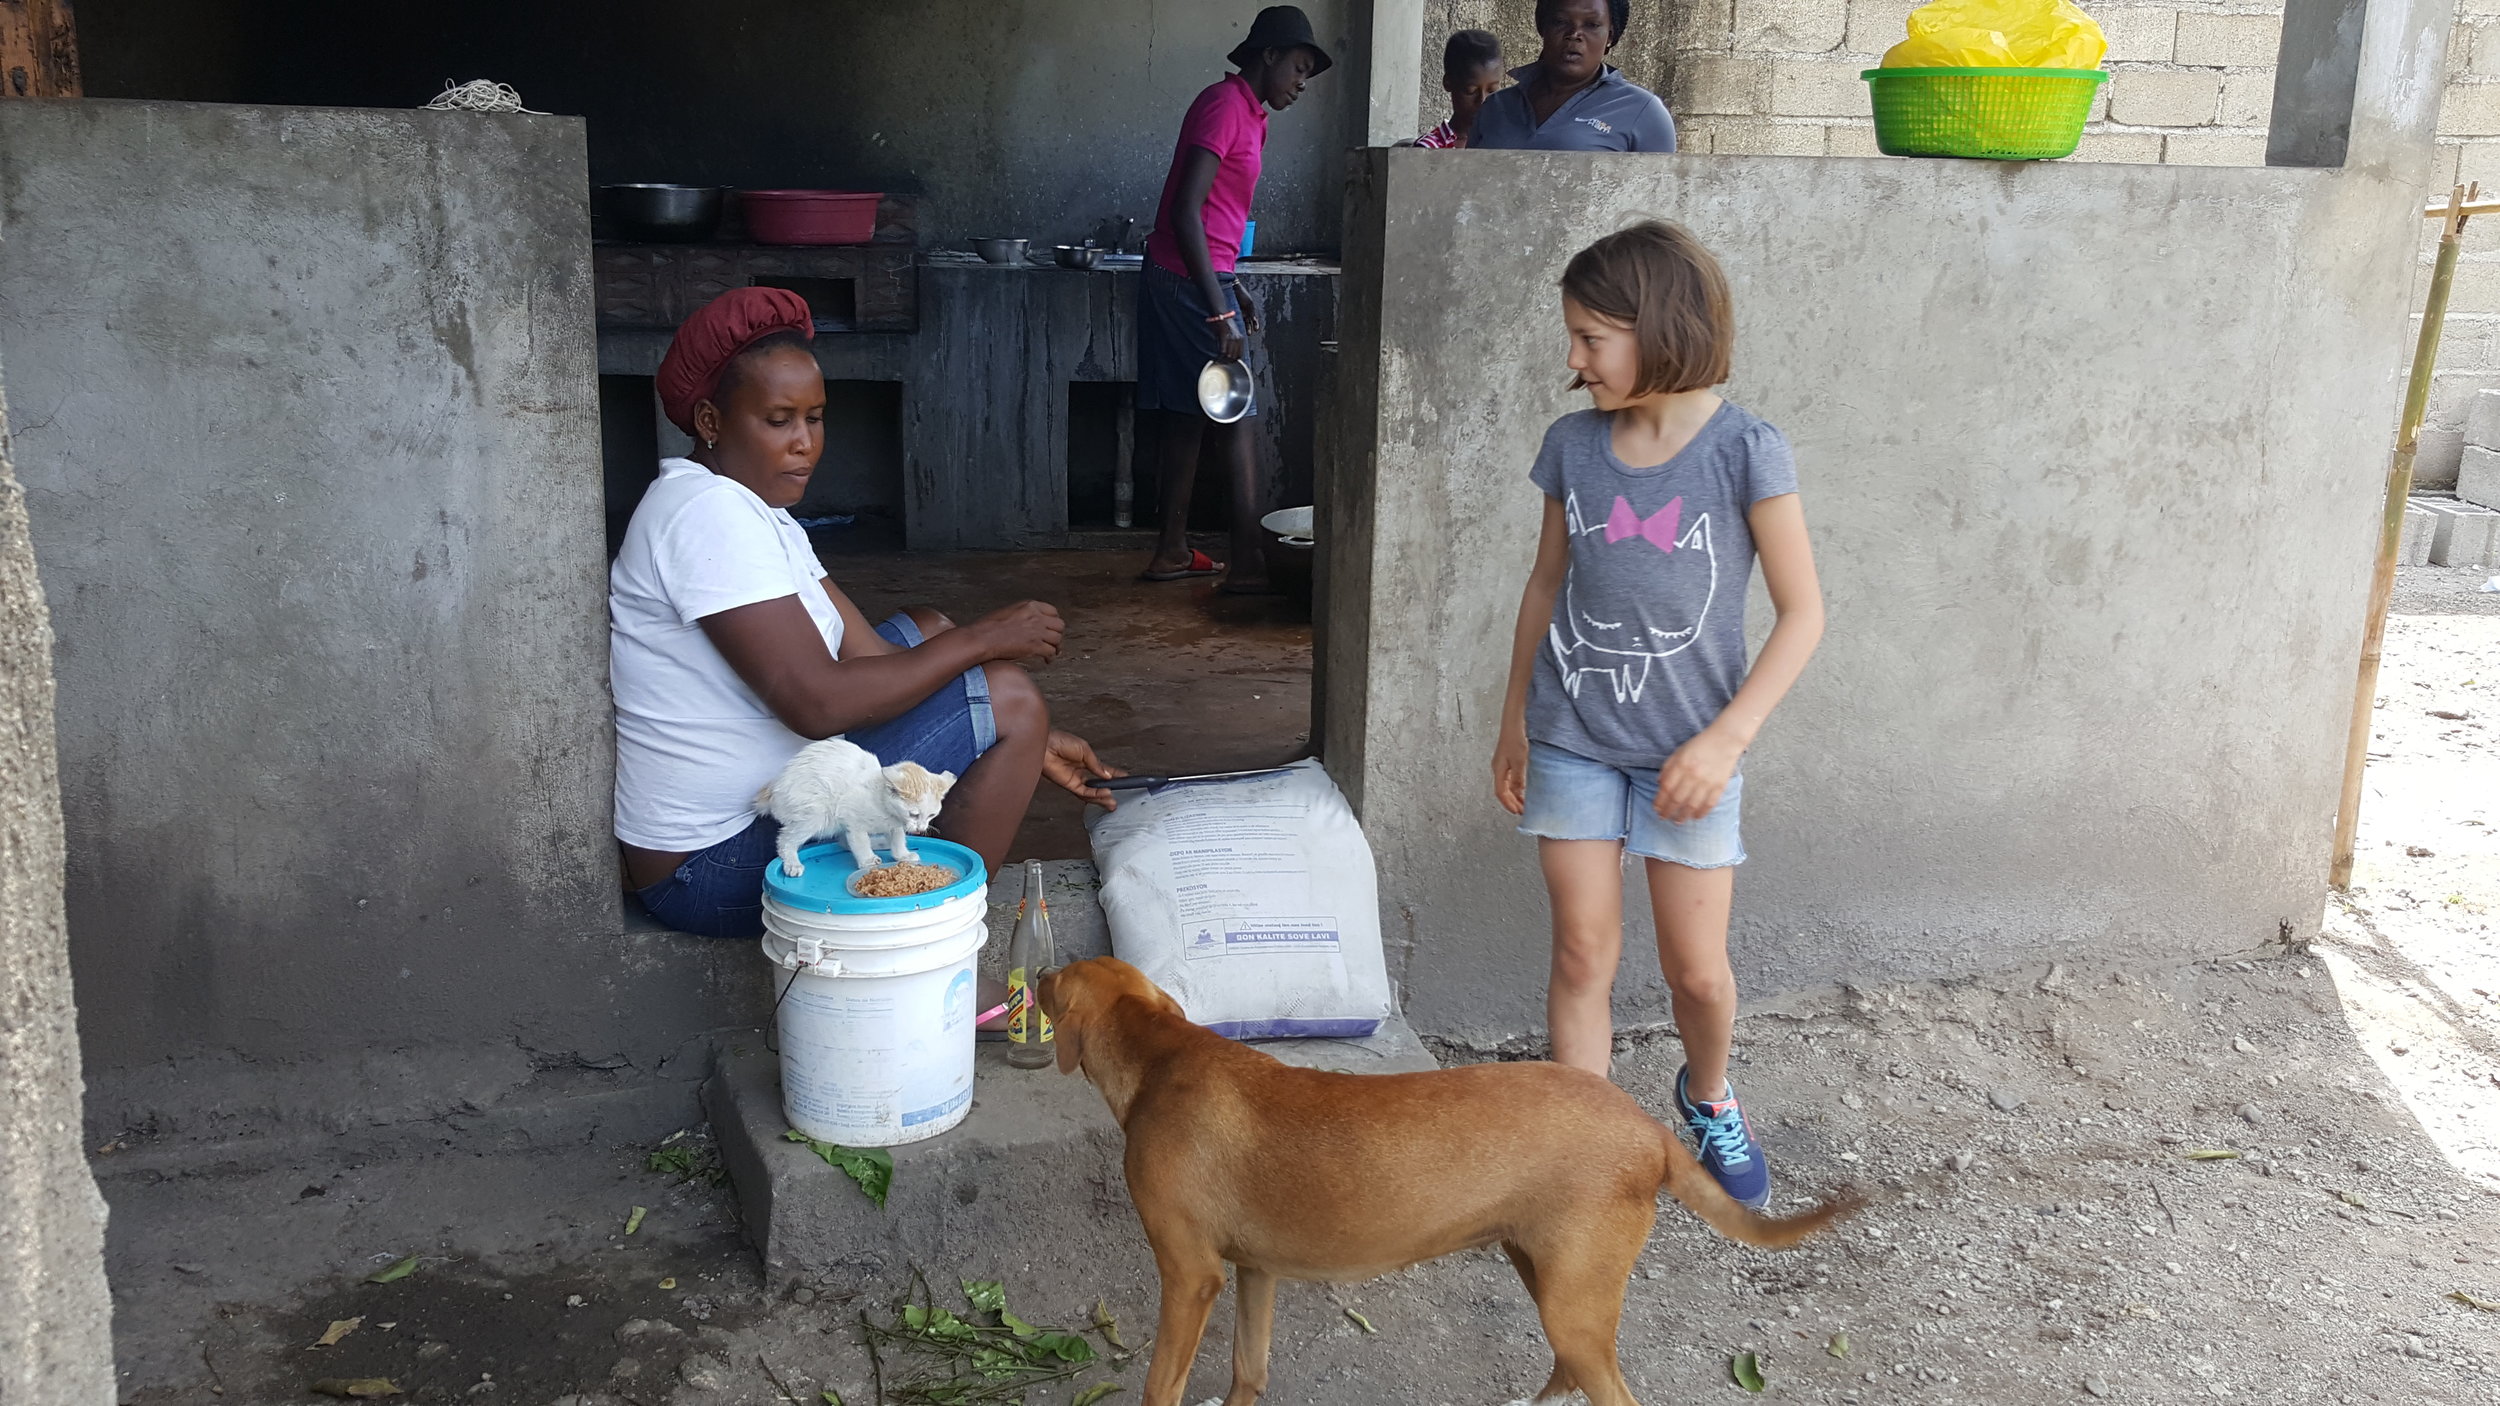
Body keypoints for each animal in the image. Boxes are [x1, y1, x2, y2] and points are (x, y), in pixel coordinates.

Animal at [750, 735, 955, 875]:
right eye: (914, 814)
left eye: (931, 815)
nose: (921, 829)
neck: (883, 805)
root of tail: (774, 788)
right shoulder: (852, 818)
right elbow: (860, 841)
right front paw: (867, 860)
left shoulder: (895, 825)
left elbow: (897, 839)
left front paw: (902, 855)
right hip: (817, 813)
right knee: (786, 840)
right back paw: (792, 862)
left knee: (842, 841)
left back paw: (880, 843)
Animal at [1035, 950, 1860, 1400]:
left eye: (1055, 982)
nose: (1035, 970)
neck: (1160, 1056)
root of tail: (1649, 1129)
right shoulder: (1254, 1271)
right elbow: (1248, 1372)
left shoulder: (1190, 1274)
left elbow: (1161, 1384)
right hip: (1547, 1272)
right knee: (1566, 1374)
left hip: (1572, 1300)